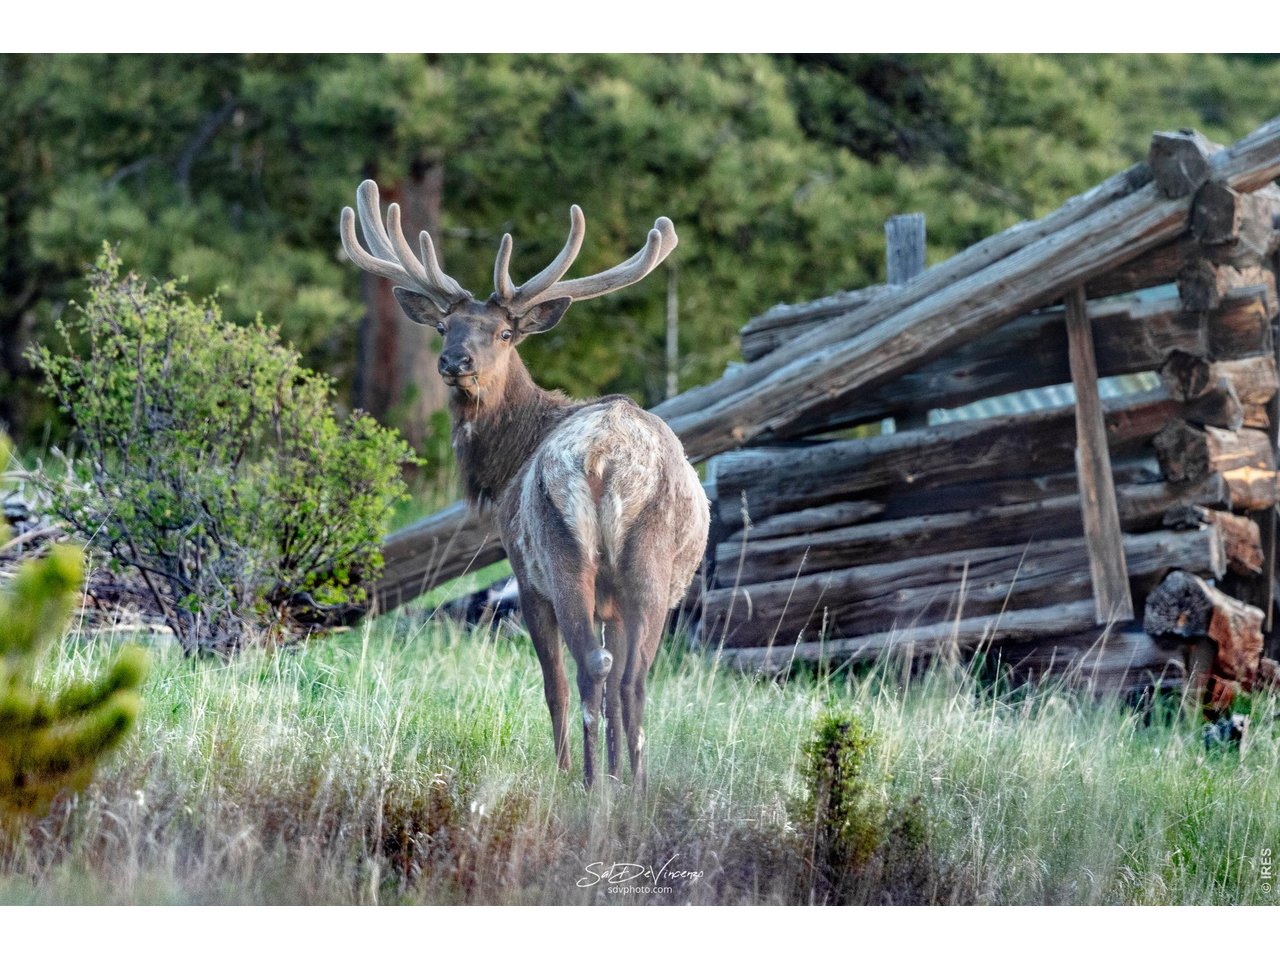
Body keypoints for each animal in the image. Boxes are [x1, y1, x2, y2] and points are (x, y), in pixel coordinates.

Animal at [341, 181, 710, 790]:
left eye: (505, 332)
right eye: (443, 327)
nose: (454, 361)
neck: (504, 465)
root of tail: (606, 460)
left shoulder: (522, 569)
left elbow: (551, 683)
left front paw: (564, 771)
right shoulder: (612, 604)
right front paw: (615, 772)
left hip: (560, 553)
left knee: (586, 670)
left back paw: (587, 784)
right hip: (645, 569)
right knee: (630, 678)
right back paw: (633, 787)